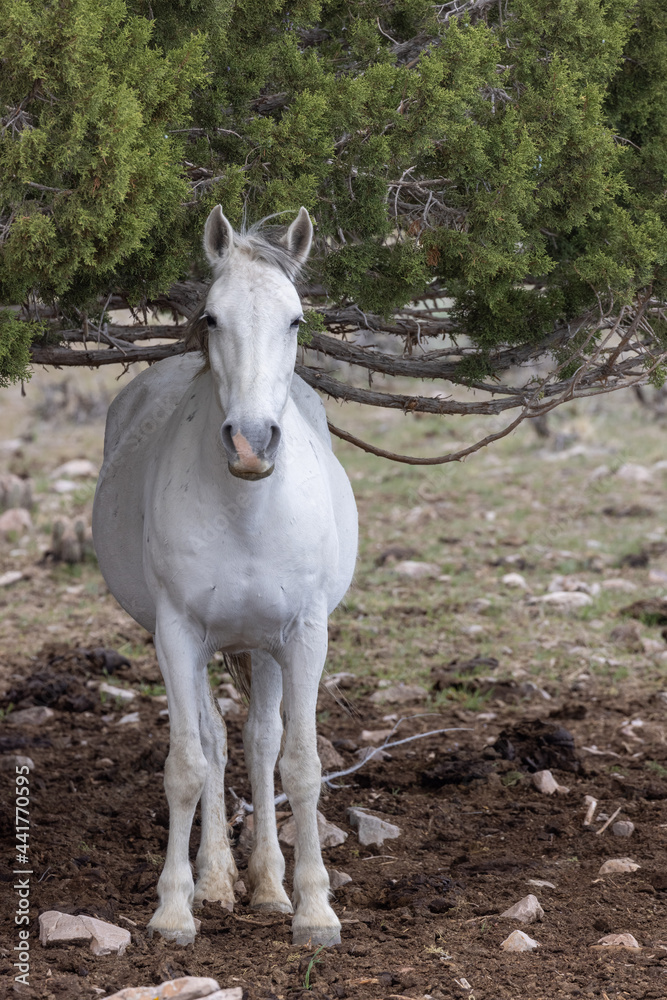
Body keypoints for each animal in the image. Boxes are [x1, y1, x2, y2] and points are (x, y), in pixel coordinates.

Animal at [92, 206, 358, 948]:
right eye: (212, 317)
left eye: (296, 319)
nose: (251, 443)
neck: (246, 509)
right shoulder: (177, 634)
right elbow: (187, 766)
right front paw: (174, 909)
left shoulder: (304, 635)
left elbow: (300, 765)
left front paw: (314, 912)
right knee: (214, 743)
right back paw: (216, 879)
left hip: (262, 647)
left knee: (259, 742)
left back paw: (267, 886)